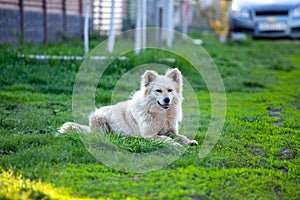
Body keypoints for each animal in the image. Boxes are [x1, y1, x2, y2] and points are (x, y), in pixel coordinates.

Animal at [59, 68, 198, 145]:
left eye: (170, 90)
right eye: (158, 91)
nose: (167, 100)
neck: (160, 113)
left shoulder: (171, 131)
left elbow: (182, 136)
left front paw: (189, 142)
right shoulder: (150, 135)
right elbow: (167, 139)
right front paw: (177, 145)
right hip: (102, 124)